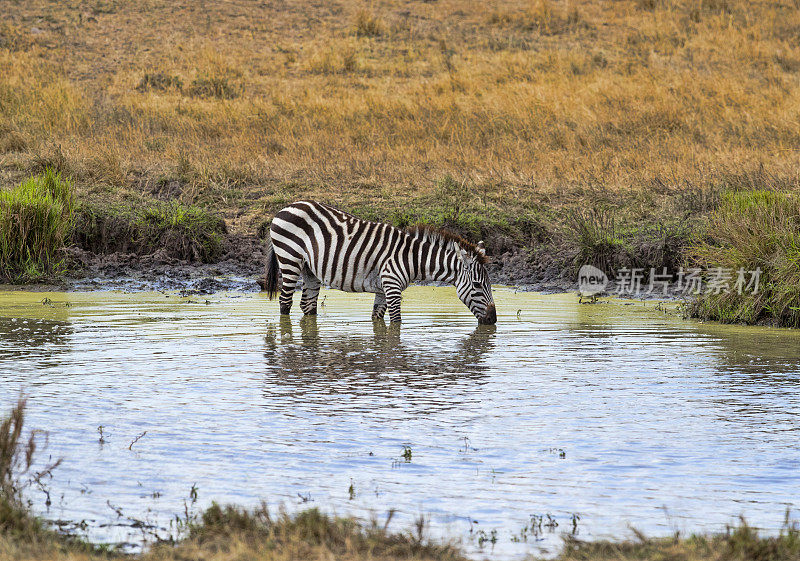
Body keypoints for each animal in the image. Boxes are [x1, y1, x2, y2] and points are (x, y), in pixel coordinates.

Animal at [266, 200, 496, 324]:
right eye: (477, 285)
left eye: (489, 285)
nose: (493, 320)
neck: (411, 258)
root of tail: (287, 207)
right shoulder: (392, 286)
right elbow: (396, 324)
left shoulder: (383, 289)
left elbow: (378, 320)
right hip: (289, 259)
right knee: (285, 302)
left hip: (309, 270)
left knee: (308, 304)